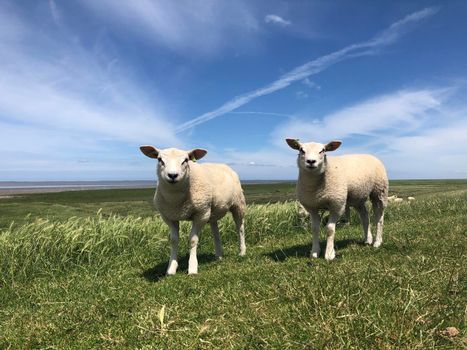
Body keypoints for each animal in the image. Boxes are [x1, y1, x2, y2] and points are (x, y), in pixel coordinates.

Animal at [140, 146, 247, 274]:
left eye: (185, 160)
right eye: (159, 159)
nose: (172, 175)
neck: (176, 199)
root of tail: (224, 165)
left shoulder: (201, 214)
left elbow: (192, 240)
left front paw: (192, 267)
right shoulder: (169, 217)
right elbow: (174, 240)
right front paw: (171, 268)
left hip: (237, 203)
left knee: (240, 227)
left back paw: (242, 252)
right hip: (212, 211)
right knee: (215, 232)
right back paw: (219, 256)